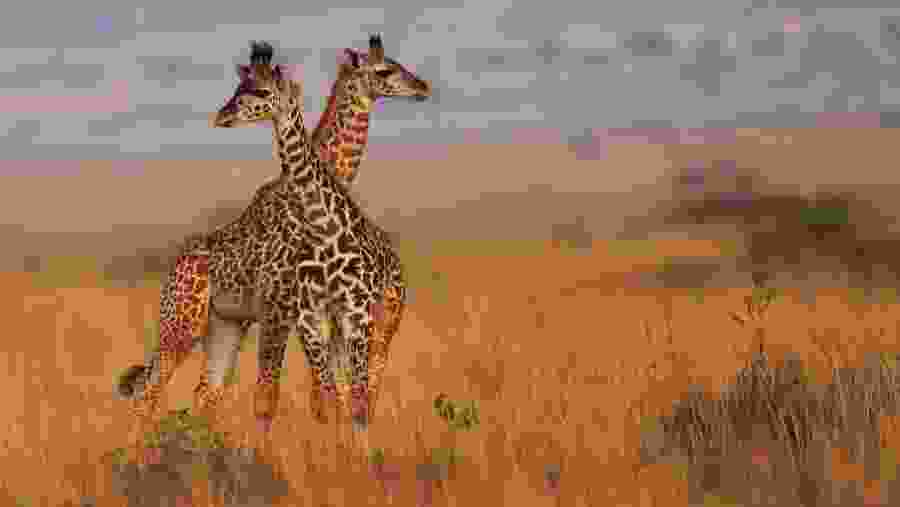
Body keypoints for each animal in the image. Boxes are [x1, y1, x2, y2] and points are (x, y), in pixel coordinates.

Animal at [116, 37, 429, 451]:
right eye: (385, 70)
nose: (422, 87)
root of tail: (173, 272)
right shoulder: (285, 309)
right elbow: (280, 398)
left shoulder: (306, 315)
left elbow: (318, 398)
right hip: (182, 323)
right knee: (149, 391)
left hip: (228, 325)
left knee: (205, 393)